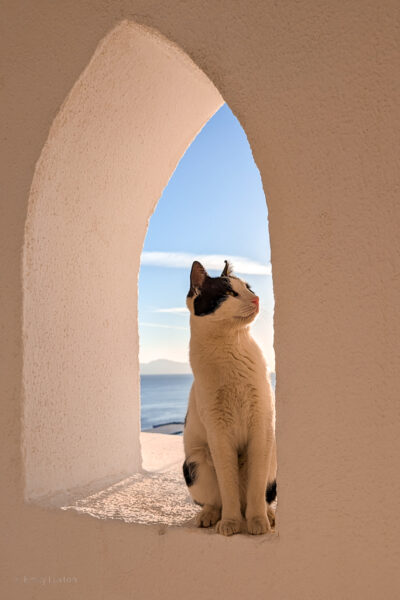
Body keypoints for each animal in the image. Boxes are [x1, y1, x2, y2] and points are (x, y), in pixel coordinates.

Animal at [183, 258, 276, 536]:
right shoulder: (219, 434)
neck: (230, 347)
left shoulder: (261, 427)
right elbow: (228, 487)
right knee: (217, 499)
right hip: (195, 462)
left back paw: (267, 514)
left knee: (262, 493)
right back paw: (210, 516)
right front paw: (232, 523)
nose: (256, 298)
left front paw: (257, 521)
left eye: (248, 288)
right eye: (229, 293)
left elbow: (257, 487)